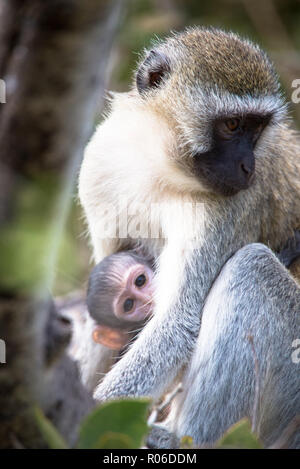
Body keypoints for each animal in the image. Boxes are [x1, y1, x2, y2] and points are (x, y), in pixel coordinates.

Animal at [78, 28, 300, 446]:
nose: (248, 167)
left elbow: (177, 322)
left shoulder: (227, 209)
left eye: (257, 128)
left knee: (253, 269)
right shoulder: (99, 164)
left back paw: (184, 438)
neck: (157, 167)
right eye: (232, 126)